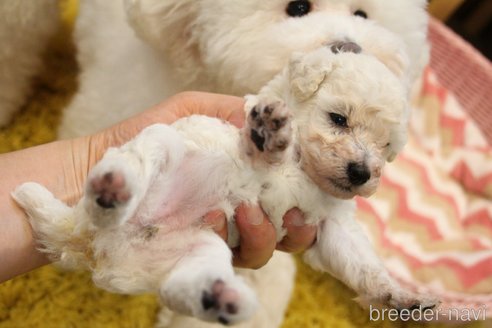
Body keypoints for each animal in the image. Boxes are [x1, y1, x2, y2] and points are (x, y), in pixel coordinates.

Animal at [14, 46, 438, 326]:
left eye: (386, 146)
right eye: (338, 119)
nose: (362, 173)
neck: (308, 171)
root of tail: (89, 247)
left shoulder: (330, 225)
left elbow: (359, 261)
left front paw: (399, 297)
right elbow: (262, 151)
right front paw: (269, 137)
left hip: (201, 249)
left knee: (178, 289)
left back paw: (220, 298)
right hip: (162, 142)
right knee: (135, 163)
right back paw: (112, 192)